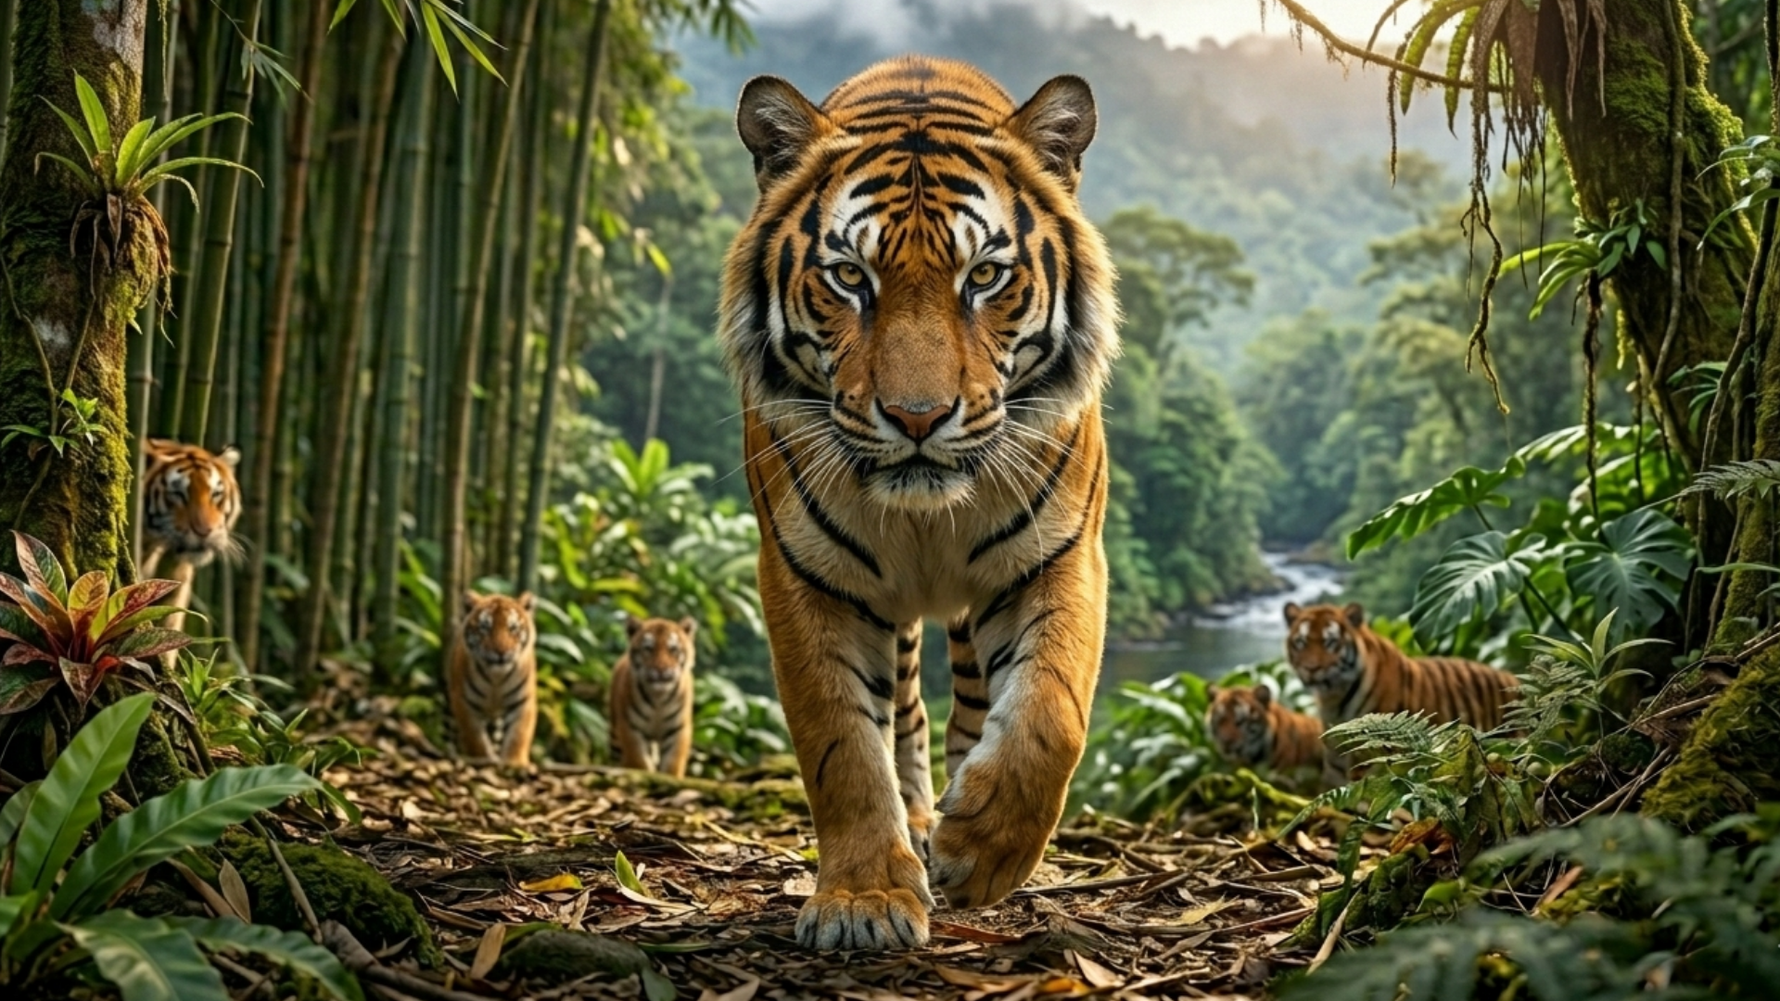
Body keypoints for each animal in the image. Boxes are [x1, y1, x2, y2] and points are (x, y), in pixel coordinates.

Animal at [446, 591, 538, 767]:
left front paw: (515, 763)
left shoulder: (523, 701)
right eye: (485, 627)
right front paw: (483, 759)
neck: (497, 677)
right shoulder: (463, 701)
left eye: (513, 628)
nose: (501, 651)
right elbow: (475, 738)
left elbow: (518, 735)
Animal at [608, 615, 697, 777]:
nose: (661, 669)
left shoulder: (678, 729)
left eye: (673, 649)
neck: (658, 698)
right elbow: (639, 762)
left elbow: (672, 764)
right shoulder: (630, 727)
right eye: (648, 648)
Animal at [719, 56, 1119, 950]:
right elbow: (841, 745)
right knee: (903, 713)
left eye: (985, 277)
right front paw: (864, 899)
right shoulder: (806, 576)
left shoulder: (1061, 554)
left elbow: (1053, 712)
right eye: (849, 278)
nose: (916, 417)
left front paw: (979, 851)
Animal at [1284, 602, 1518, 780]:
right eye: (1300, 642)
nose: (1311, 668)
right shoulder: (1336, 759)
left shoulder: (1370, 752)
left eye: (1330, 642)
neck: (1334, 698)